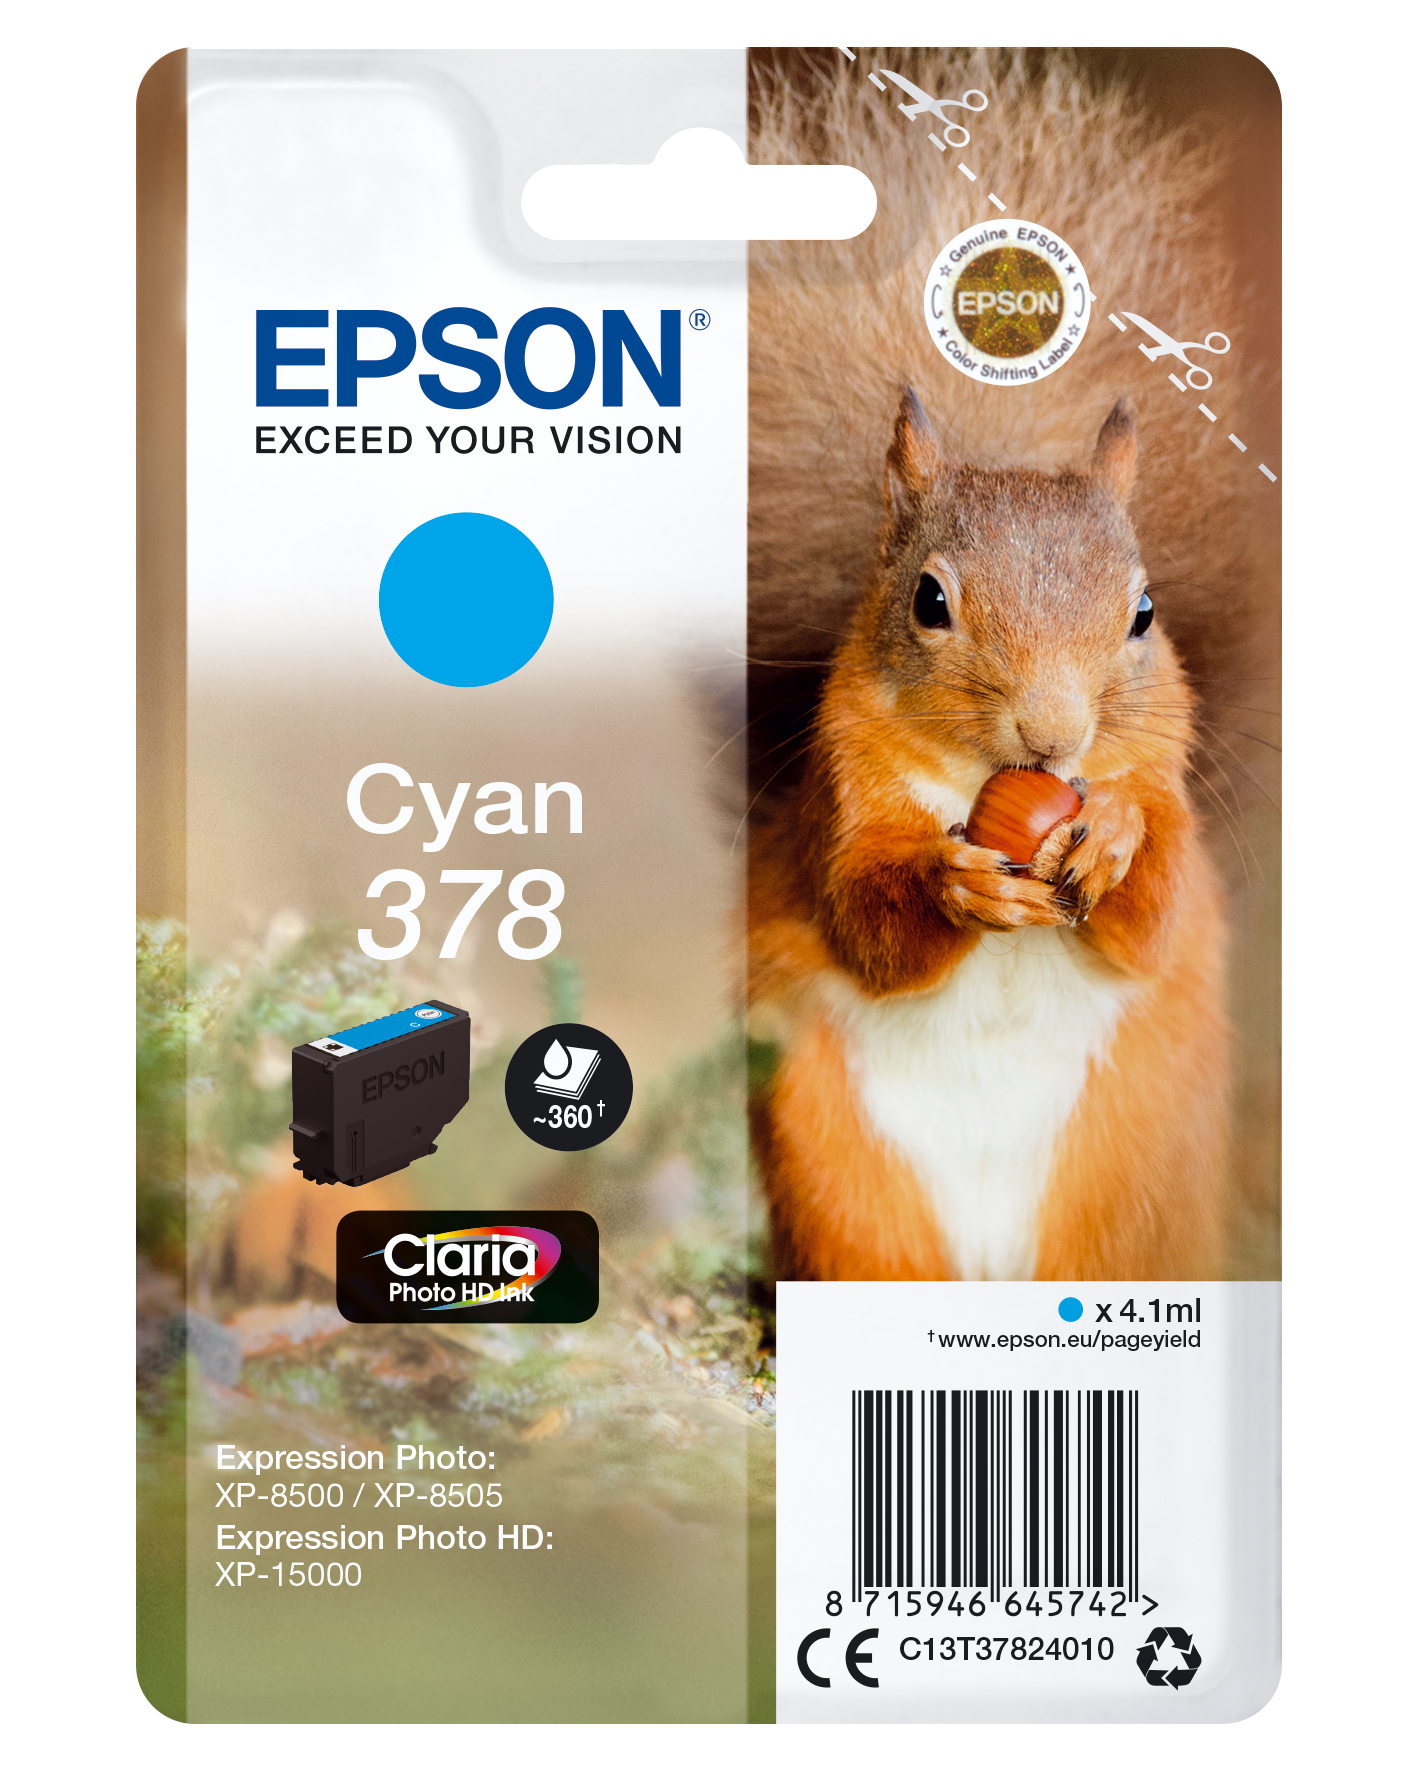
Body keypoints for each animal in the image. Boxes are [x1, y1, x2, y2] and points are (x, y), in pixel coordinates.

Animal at [745, 50, 1277, 1282]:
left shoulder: (1168, 790)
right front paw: (958, 883)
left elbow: (1155, 910)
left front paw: (1114, 837)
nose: (1053, 735)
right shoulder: (841, 802)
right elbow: (865, 917)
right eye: (928, 601)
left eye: (1143, 613)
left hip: (1131, 1184)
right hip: (839, 1177)